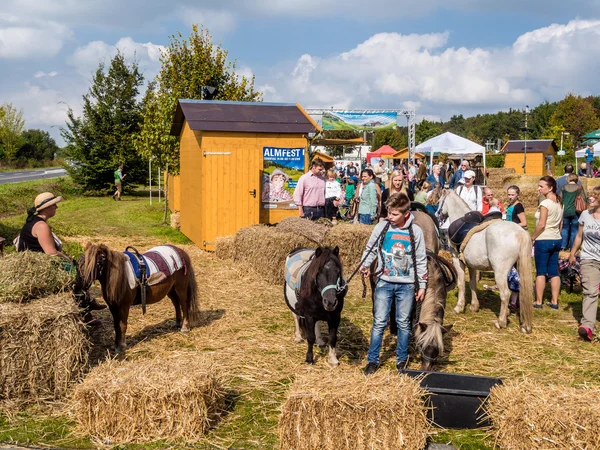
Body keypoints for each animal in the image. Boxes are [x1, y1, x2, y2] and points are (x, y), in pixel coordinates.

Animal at [436, 188, 536, 332]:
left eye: (439, 201)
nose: (437, 214)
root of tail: (519, 233)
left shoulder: (457, 260)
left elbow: (461, 284)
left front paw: (459, 307)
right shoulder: (471, 264)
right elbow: (472, 284)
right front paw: (474, 306)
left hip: (500, 272)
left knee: (505, 294)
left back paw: (500, 322)